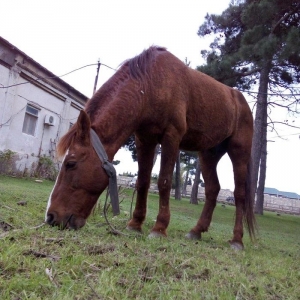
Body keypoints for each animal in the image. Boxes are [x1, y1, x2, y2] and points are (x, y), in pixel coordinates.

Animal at [45, 45, 255, 250]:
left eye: (70, 164)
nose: (50, 217)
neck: (149, 85)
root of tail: (241, 101)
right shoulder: (144, 139)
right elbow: (143, 181)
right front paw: (135, 224)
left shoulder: (171, 137)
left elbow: (164, 182)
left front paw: (159, 228)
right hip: (208, 154)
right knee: (212, 189)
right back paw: (196, 231)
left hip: (239, 152)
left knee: (239, 194)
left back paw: (237, 240)